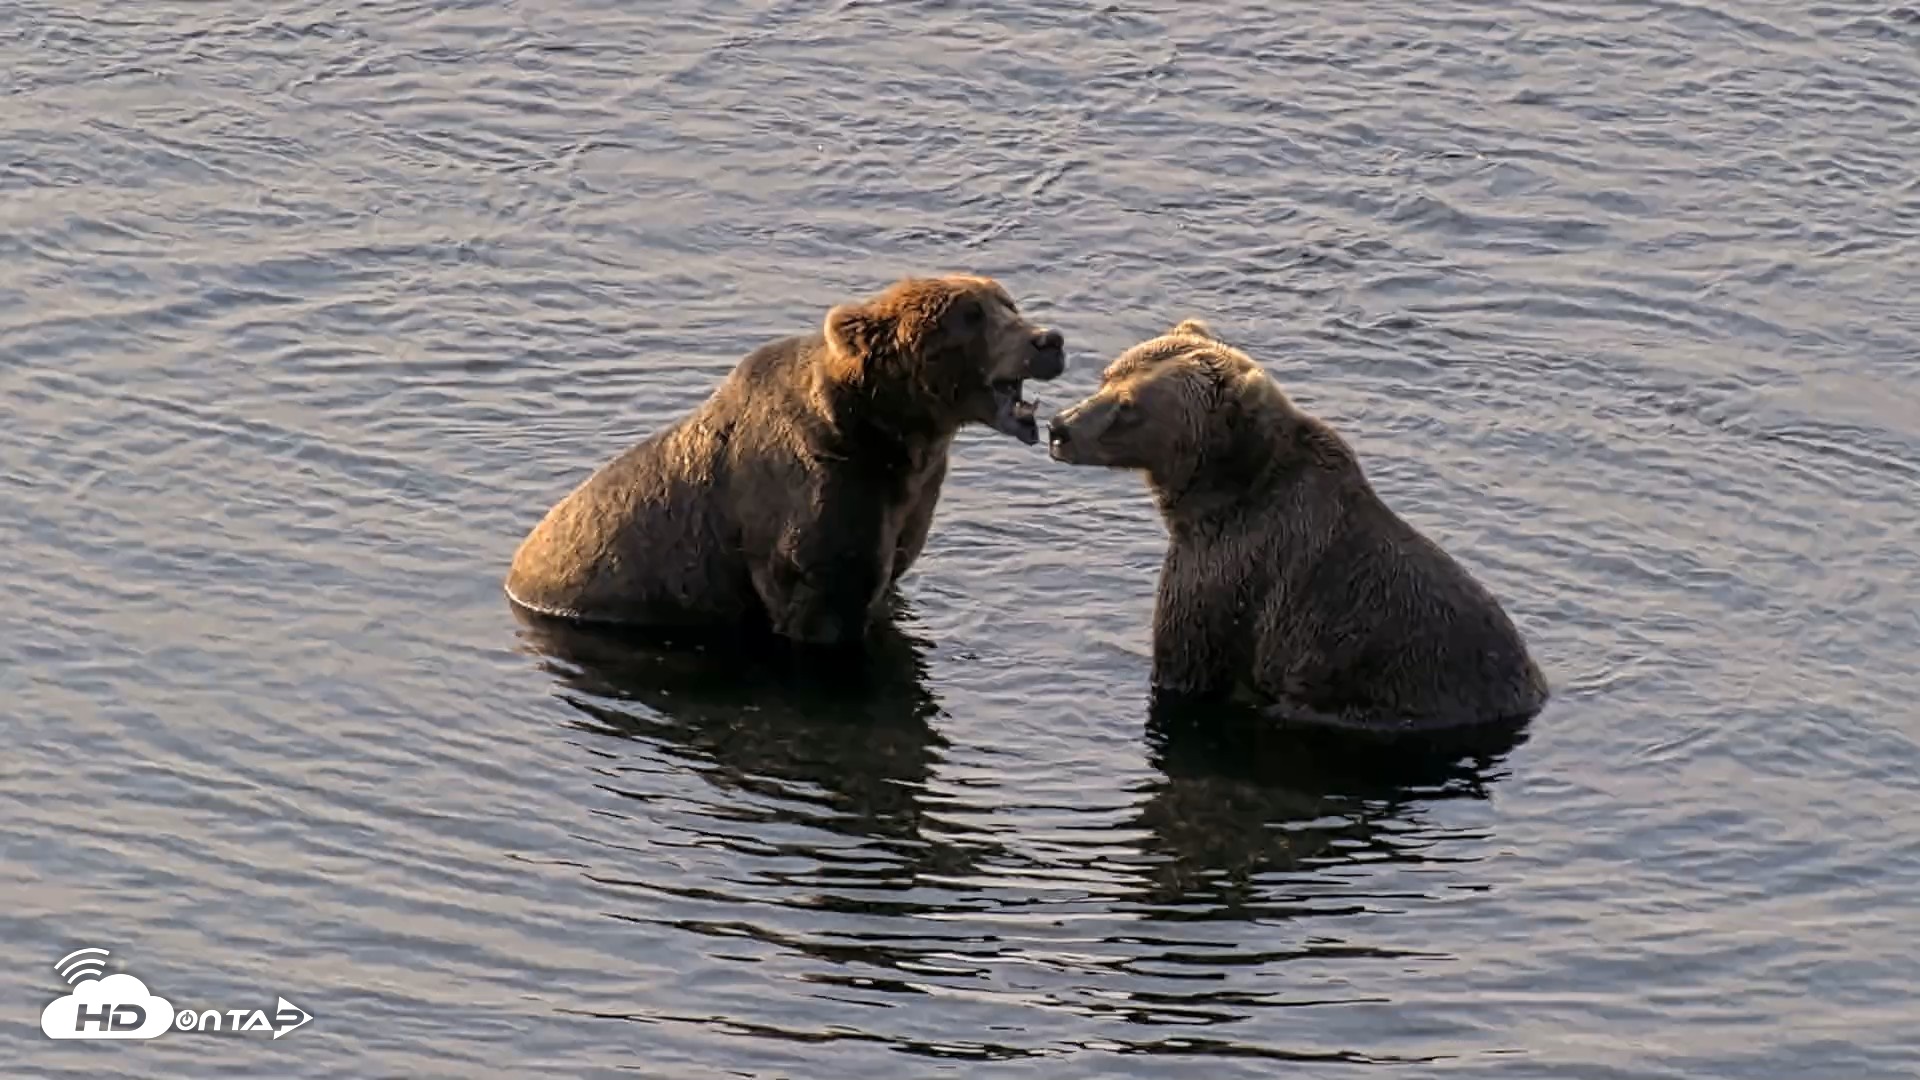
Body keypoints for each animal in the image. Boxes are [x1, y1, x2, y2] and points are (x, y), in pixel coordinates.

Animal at [506, 274, 1066, 646]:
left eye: (1007, 303)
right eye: (971, 315)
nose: (1049, 339)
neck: (896, 436)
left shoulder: (908, 498)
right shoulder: (818, 497)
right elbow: (823, 603)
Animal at [1046, 319, 1548, 733]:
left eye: (1129, 405)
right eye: (1108, 375)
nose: (1059, 428)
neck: (1218, 489)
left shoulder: (1229, 567)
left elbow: (1186, 661)